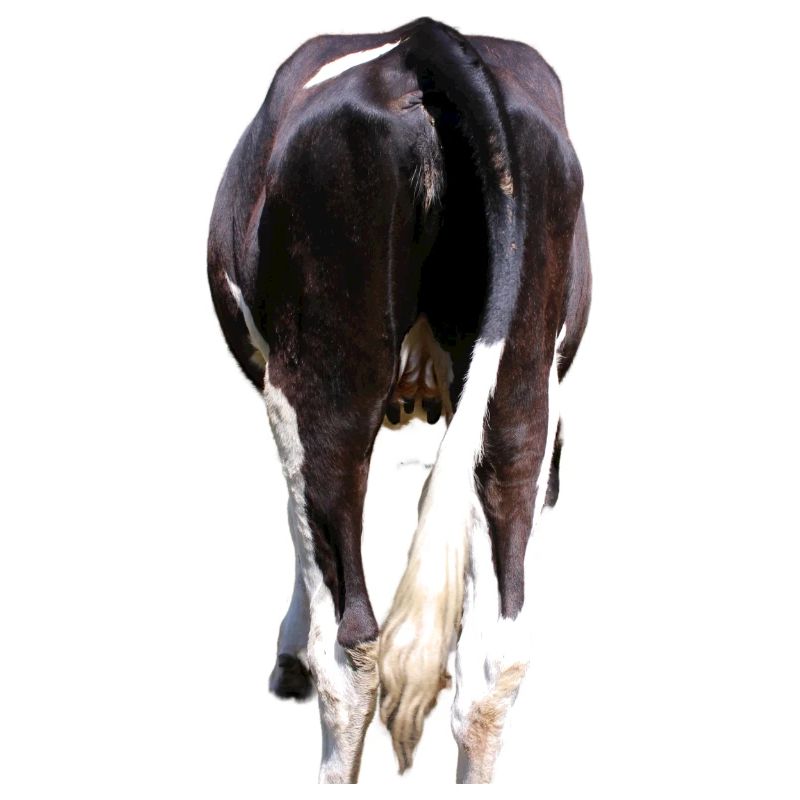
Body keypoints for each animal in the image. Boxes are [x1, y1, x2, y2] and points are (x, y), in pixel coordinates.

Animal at [207, 16, 591, 783]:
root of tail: (423, 41)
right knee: (497, 658)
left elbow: (295, 524)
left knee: (350, 647)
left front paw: (287, 651)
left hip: (323, 381)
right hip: (524, 388)